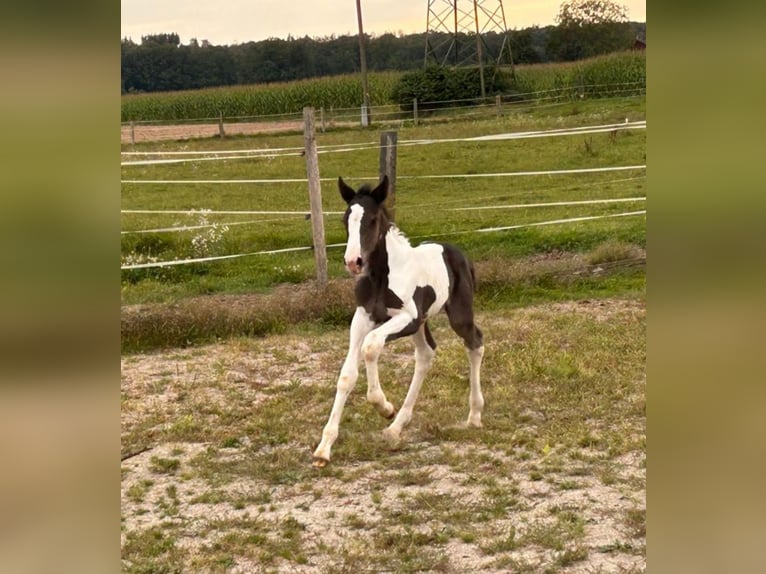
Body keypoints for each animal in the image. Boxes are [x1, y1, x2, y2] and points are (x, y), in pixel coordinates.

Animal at [314, 176, 486, 468]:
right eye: (345, 218)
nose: (353, 261)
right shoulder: (363, 317)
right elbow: (347, 374)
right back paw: (396, 427)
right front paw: (324, 448)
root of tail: (459, 254)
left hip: (458, 315)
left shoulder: (408, 318)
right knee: (426, 353)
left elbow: (371, 346)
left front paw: (383, 406)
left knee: (475, 342)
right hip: (423, 324)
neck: (383, 276)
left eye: (372, 219)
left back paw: (474, 415)